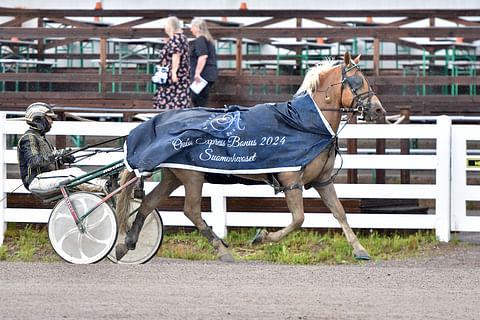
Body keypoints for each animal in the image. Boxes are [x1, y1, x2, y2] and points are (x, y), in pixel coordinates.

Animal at [115, 52, 386, 262]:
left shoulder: (323, 181)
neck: (305, 122)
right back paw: (221, 249)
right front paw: (263, 237)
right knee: (191, 211)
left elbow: (340, 213)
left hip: (175, 174)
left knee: (148, 203)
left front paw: (359, 249)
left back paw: (126, 243)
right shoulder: (291, 180)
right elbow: (299, 219)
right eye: (357, 81)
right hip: (193, 177)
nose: (378, 109)